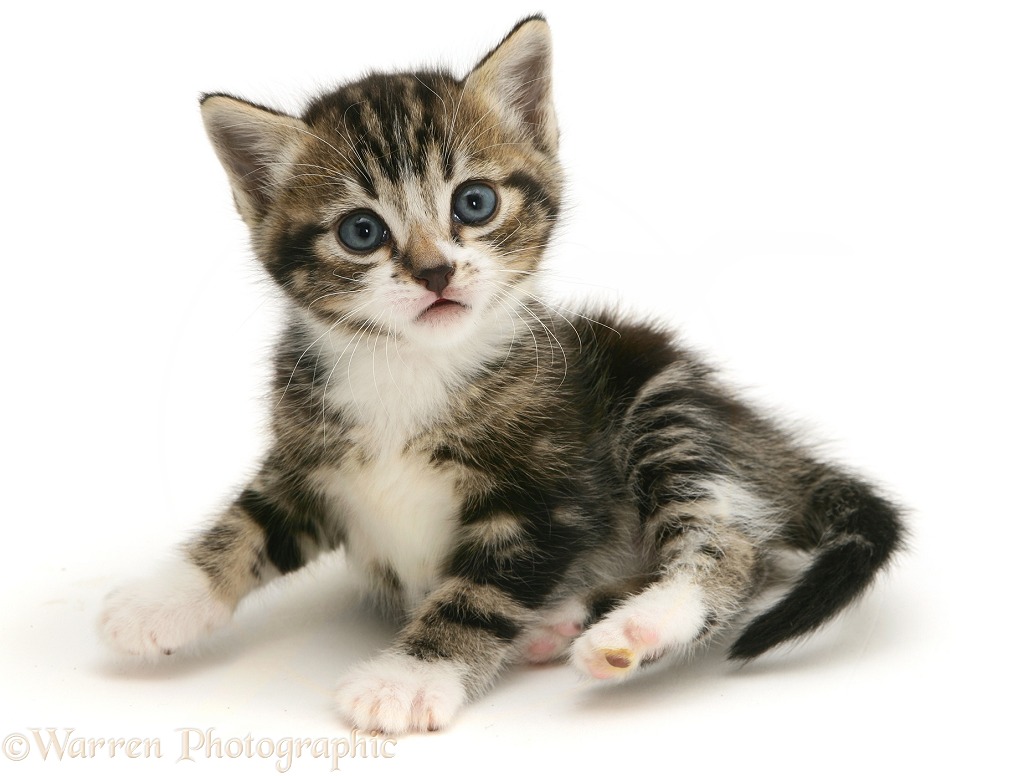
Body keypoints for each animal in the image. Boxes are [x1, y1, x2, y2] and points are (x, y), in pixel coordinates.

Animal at [98, 16, 907, 737]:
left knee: (737, 548)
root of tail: (761, 437)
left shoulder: (545, 499)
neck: (411, 369)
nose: (434, 272)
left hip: (662, 401)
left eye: (474, 202)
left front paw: (409, 676)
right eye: (361, 231)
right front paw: (162, 599)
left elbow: (478, 591)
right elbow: (249, 521)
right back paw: (564, 621)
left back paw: (634, 628)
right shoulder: (309, 456)